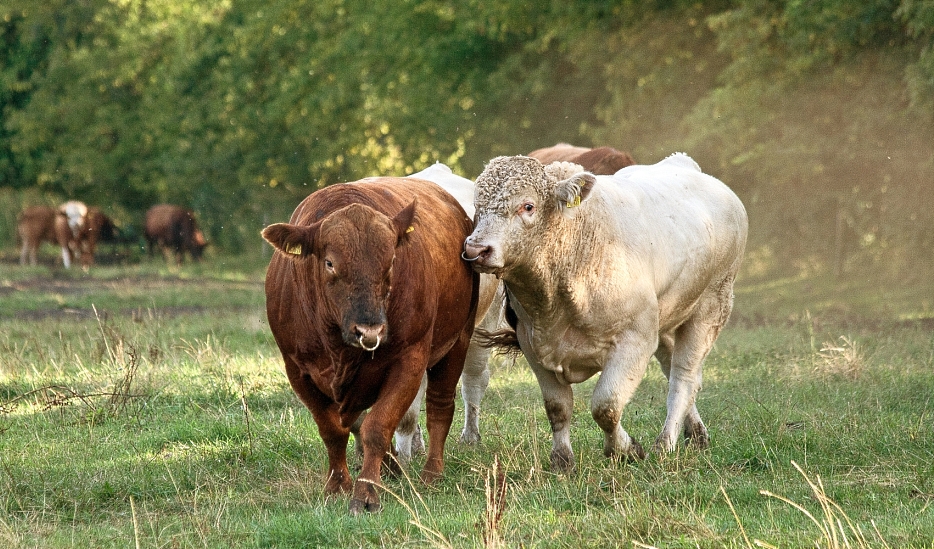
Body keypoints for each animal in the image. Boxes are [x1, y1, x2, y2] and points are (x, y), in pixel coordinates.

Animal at [264, 177, 482, 512]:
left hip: (458, 341)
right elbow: (334, 429)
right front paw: (337, 485)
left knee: (439, 407)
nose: (369, 329)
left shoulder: (409, 360)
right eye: (329, 263)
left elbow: (377, 427)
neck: (340, 350)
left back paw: (431, 473)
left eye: (390, 260)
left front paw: (366, 492)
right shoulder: (297, 370)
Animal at [464, 152, 748, 468]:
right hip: (666, 316)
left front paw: (624, 449)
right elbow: (557, 407)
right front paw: (562, 460)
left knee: (683, 378)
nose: (476, 250)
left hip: (711, 307)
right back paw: (696, 433)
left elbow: (607, 405)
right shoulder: (533, 344)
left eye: (528, 206)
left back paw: (665, 443)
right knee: (674, 366)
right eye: (477, 207)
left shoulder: (634, 340)